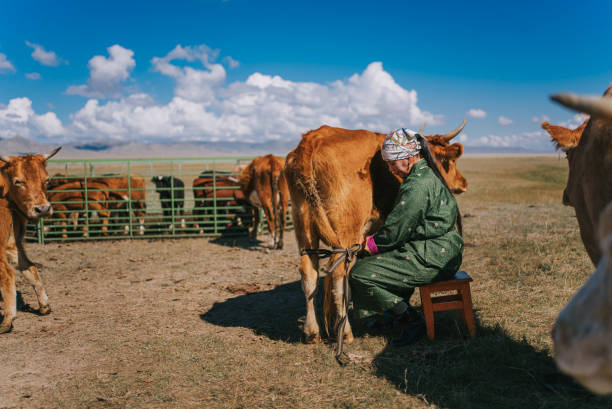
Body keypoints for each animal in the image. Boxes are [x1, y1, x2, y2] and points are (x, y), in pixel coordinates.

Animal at [284, 122, 466, 342]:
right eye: (451, 161)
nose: (463, 183)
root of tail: (311, 140)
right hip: (345, 235)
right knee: (338, 273)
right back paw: (345, 332)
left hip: (304, 228)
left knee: (308, 272)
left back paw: (312, 332)